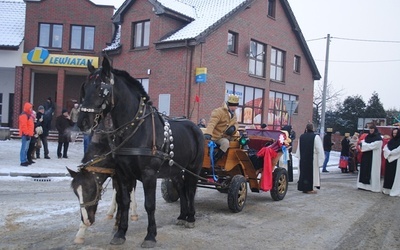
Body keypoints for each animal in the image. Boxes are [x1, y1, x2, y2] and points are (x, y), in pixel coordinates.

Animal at [77, 57, 205, 247]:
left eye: (101, 89)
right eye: (84, 88)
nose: (82, 121)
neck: (135, 129)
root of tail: (195, 126)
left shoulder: (149, 174)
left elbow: (149, 205)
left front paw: (150, 235)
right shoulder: (122, 173)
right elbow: (124, 202)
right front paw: (120, 233)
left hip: (193, 168)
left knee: (190, 190)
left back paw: (190, 218)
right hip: (174, 169)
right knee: (181, 188)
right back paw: (182, 216)